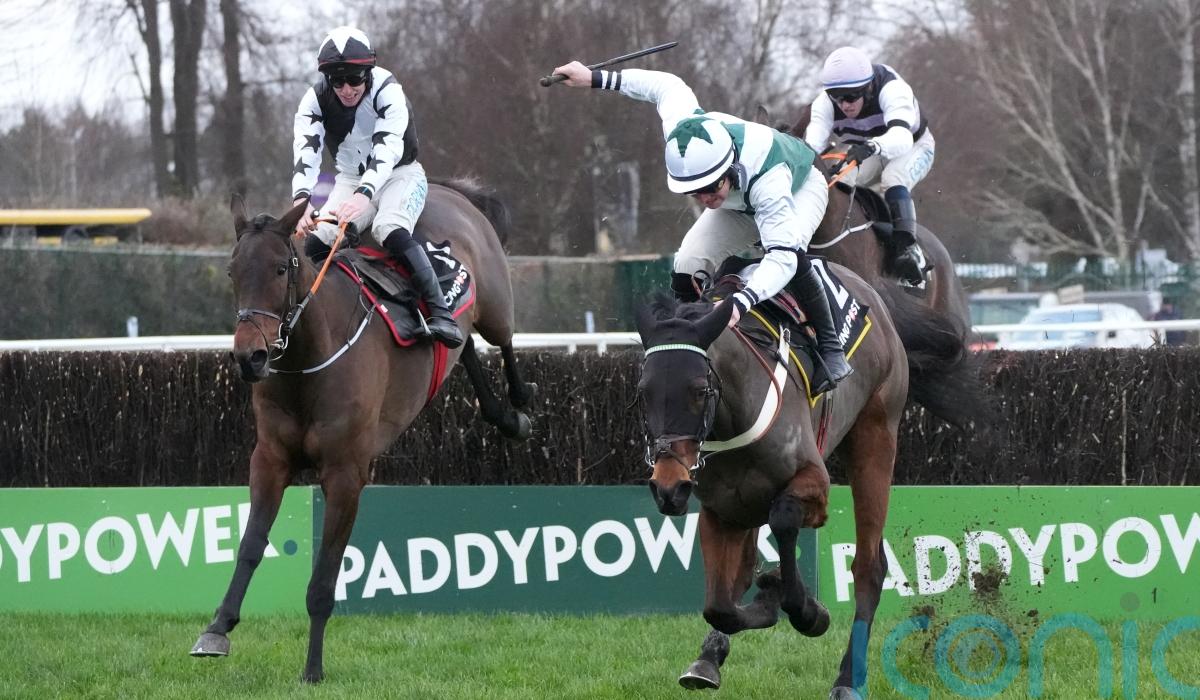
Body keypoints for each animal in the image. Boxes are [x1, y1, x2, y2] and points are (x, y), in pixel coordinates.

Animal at [189, 179, 537, 683]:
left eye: (280, 268)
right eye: (233, 272)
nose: (249, 357)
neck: (310, 359)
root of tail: (449, 190)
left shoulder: (345, 473)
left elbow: (323, 580)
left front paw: (313, 668)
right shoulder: (270, 460)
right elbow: (251, 545)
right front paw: (217, 628)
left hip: (494, 302)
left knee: (503, 339)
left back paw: (520, 406)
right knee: (466, 346)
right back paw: (499, 410)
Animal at [636, 263, 978, 698]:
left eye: (699, 390)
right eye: (643, 392)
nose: (668, 486)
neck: (735, 413)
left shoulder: (814, 487)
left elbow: (783, 520)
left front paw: (806, 610)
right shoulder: (720, 511)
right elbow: (720, 605)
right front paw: (758, 606)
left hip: (876, 436)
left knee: (869, 566)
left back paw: (848, 679)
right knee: (741, 572)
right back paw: (712, 654)